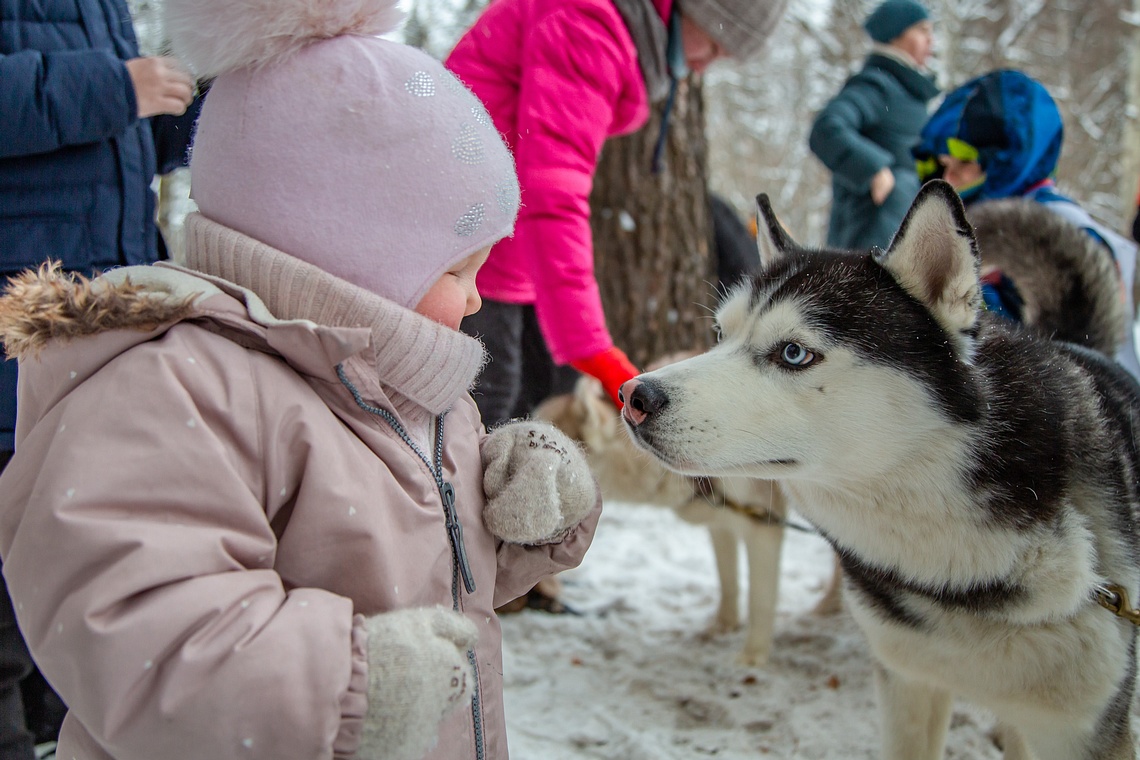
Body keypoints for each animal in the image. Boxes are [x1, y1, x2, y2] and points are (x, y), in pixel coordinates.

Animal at [531, 371, 839, 669]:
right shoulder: (721, 525)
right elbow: (728, 582)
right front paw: (723, 625)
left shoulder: (762, 529)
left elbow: (760, 599)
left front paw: (753, 657)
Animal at [620, 181, 1140, 756]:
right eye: (719, 334)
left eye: (794, 353)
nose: (634, 396)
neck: (960, 575)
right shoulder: (908, 687)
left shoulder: (1083, 729)